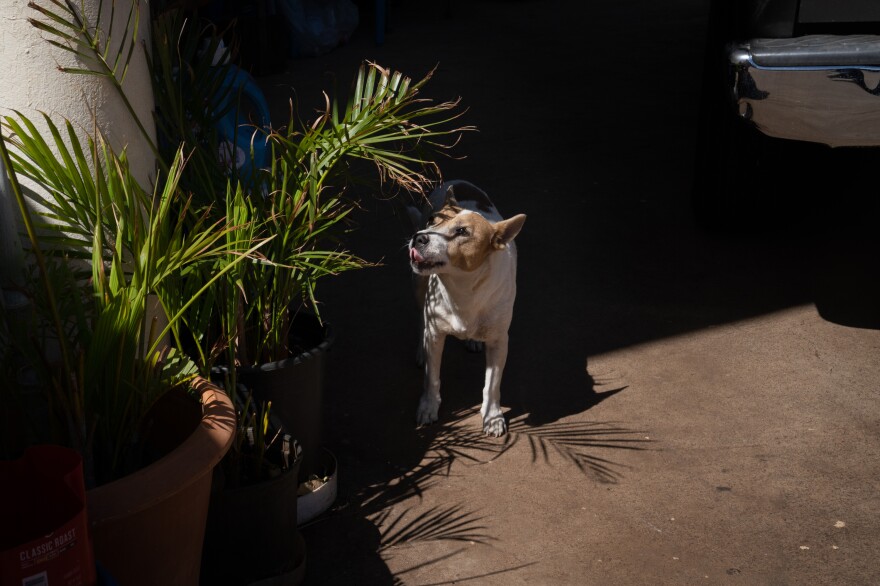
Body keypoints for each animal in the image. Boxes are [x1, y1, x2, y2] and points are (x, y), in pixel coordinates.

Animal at [406, 180, 524, 436]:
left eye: (462, 232)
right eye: (432, 220)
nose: (418, 237)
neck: (463, 287)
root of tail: (457, 181)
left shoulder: (499, 341)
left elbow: (492, 384)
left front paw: (492, 417)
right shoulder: (436, 334)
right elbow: (432, 378)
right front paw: (428, 408)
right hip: (418, 284)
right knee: (420, 319)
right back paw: (420, 350)